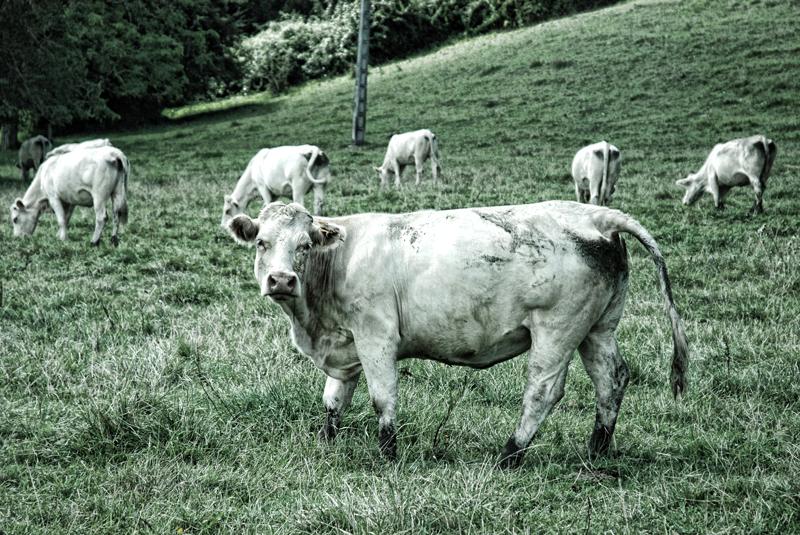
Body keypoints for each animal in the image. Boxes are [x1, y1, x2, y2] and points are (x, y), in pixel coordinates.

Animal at [226, 201, 689, 468]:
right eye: (261, 242)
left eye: (304, 245)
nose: (281, 280)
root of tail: (595, 214)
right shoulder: (344, 347)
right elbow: (333, 400)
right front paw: (326, 442)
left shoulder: (376, 336)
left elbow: (382, 398)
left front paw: (388, 455)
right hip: (598, 328)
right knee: (612, 379)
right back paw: (596, 450)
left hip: (557, 328)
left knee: (543, 392)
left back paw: (510, 455)